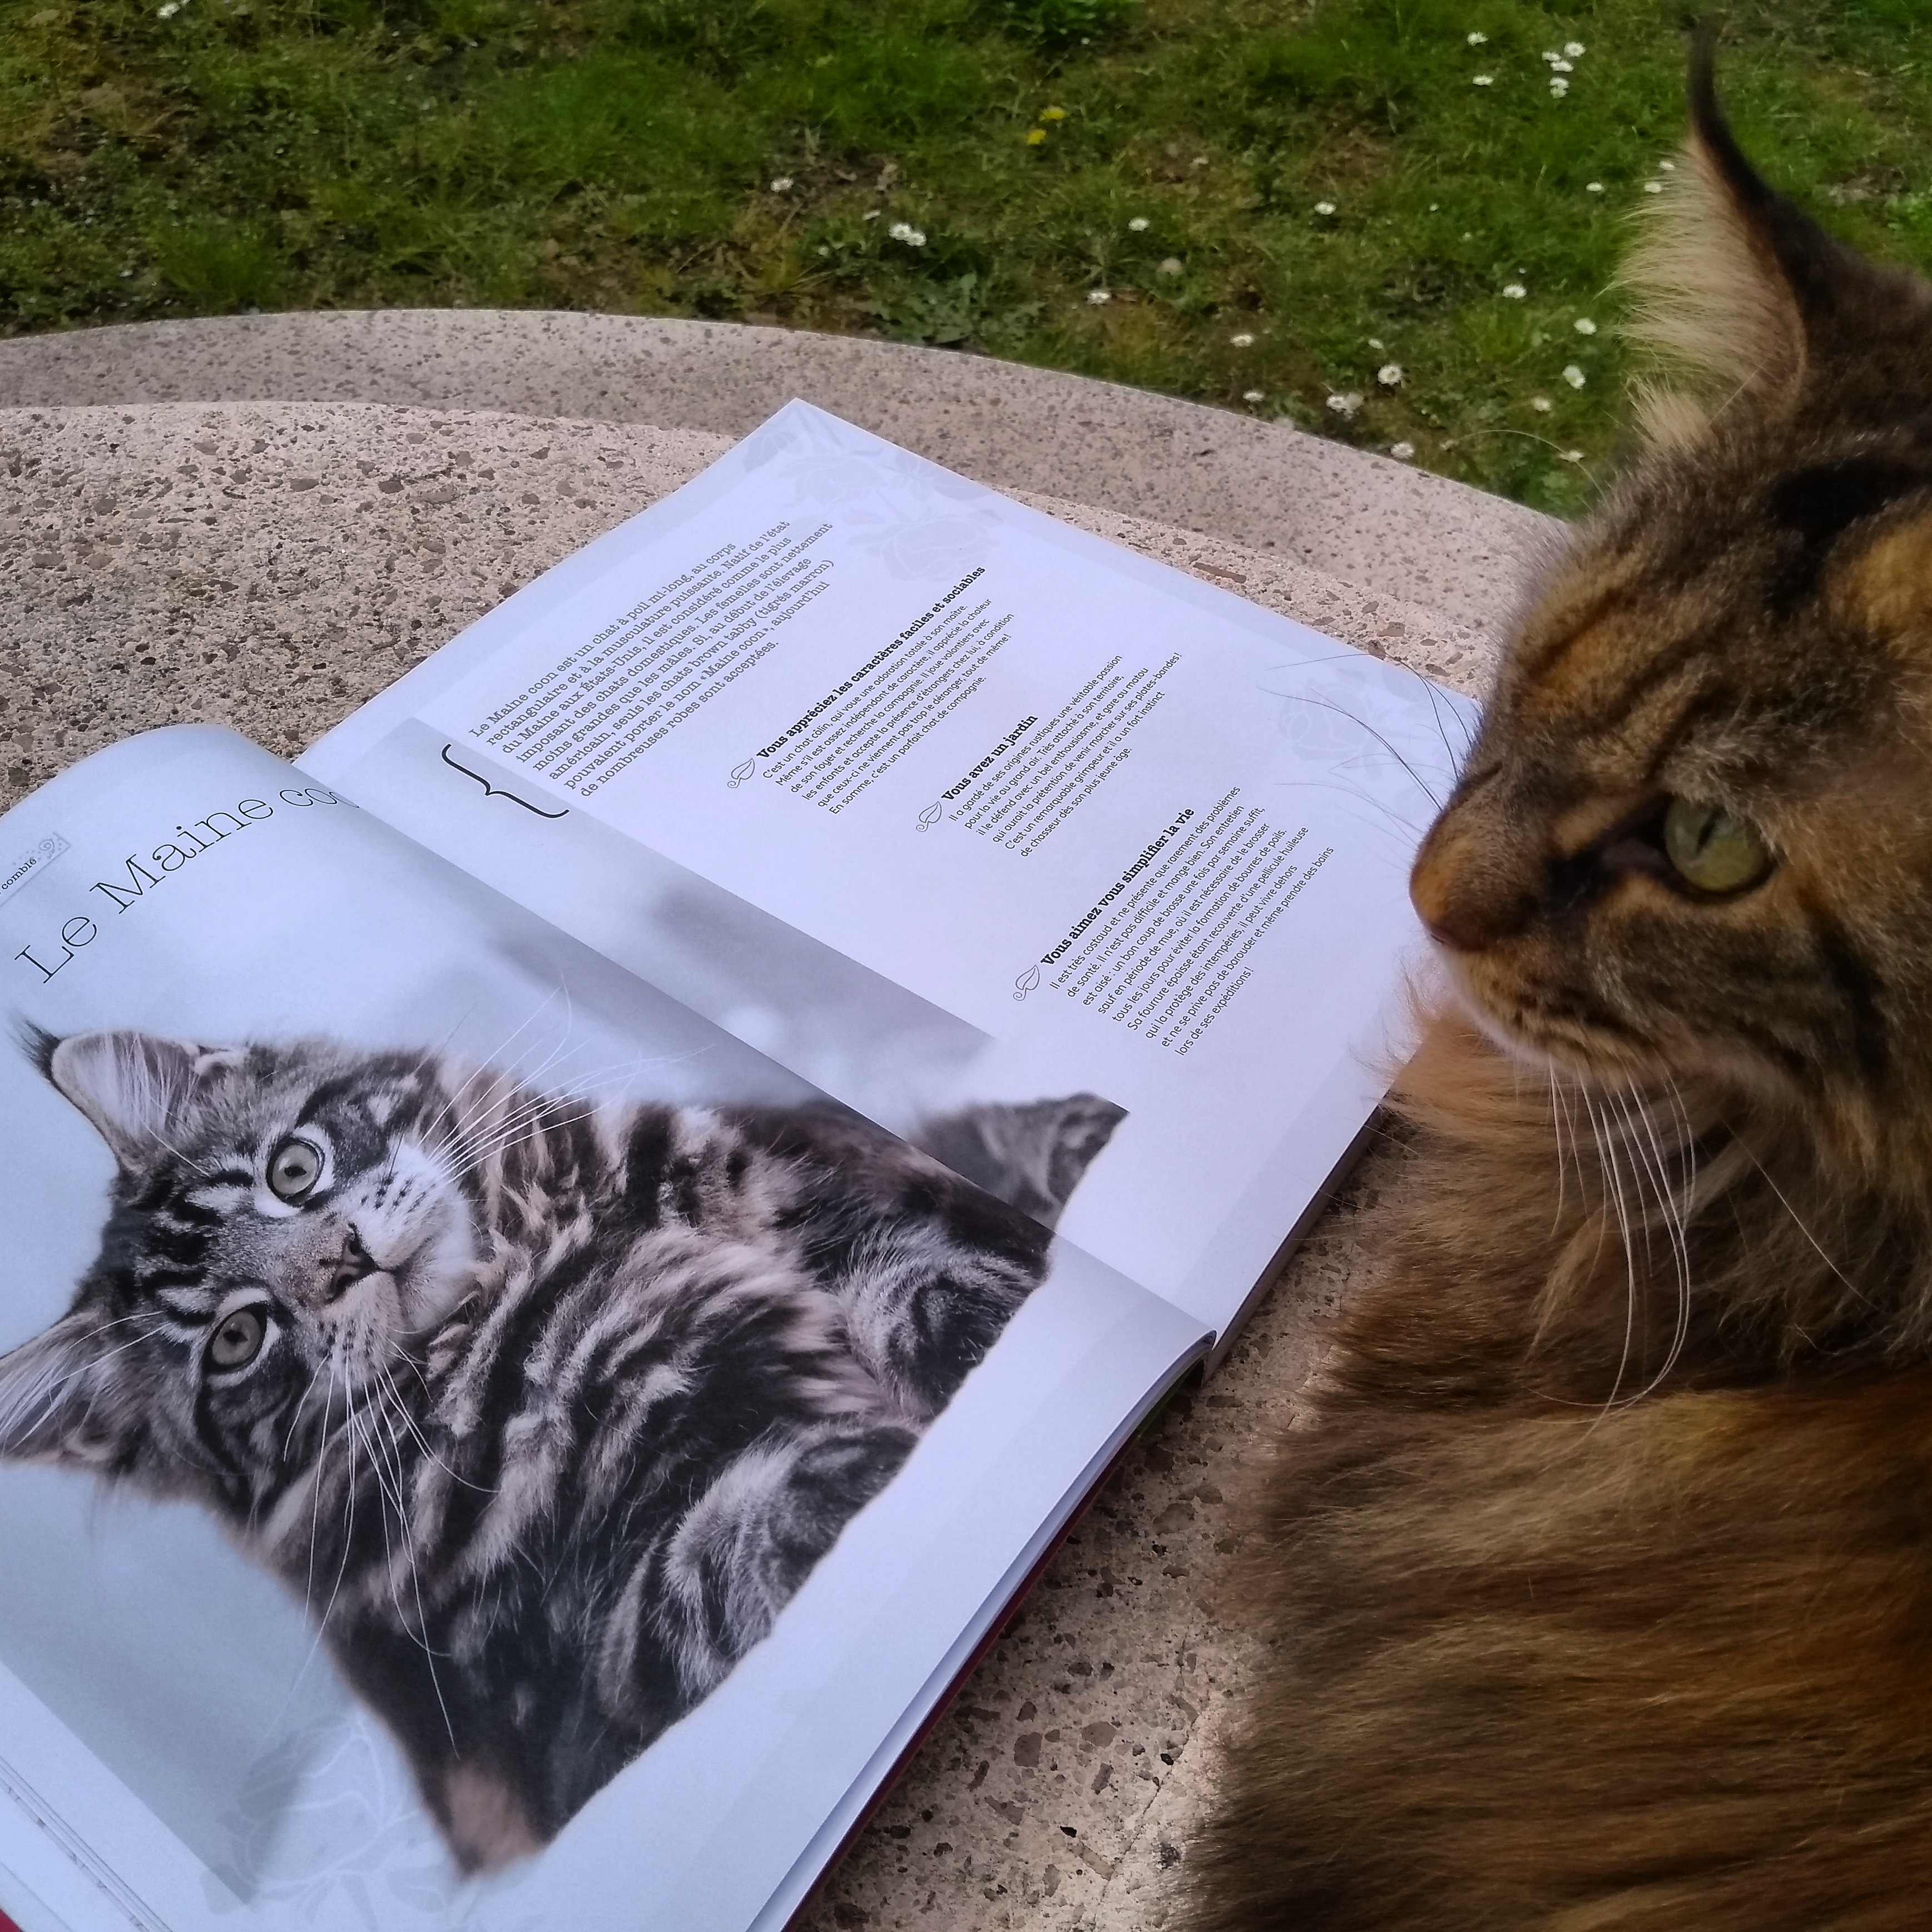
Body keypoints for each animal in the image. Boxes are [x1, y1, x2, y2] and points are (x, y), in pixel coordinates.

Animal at [0, 1023, 1121, 1872]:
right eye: (237, 1339)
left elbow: (922, 1282)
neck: (521, 1271)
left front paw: (979, 1329)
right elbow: (750, 1535)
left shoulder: (815, 1206)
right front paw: (875, 1467)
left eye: (293, 1169)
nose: (346, 1258)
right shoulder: (607, 1625)